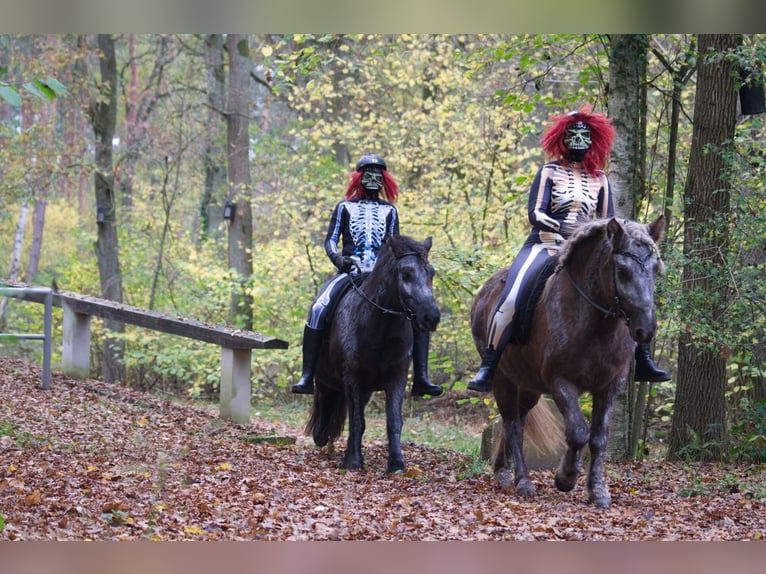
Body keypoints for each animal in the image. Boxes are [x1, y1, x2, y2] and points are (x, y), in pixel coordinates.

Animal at [304, 236, 440, 474]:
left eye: (430, 272)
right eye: (406, 273)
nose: (431, 317)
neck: (379, 327)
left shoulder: (396, 378)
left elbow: (393, 421)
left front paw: (396, 465)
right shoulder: (352, 379)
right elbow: (356, 420)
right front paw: (353, 462)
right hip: (325, 380)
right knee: (324, 404)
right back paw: (322, 435)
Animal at [472, 217, 664, 508]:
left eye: (654, 268)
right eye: (621, 270)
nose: (646, 330)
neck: (595, 323)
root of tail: (485, 291)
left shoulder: (610, 386)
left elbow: (598, 437)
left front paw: (597, 490)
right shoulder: (561, 382)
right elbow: (577, 432)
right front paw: (565, 477)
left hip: (529, 387)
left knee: (517, 421)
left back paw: (503, 471)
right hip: (502, 380)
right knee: (513, 425)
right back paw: (521, 480)